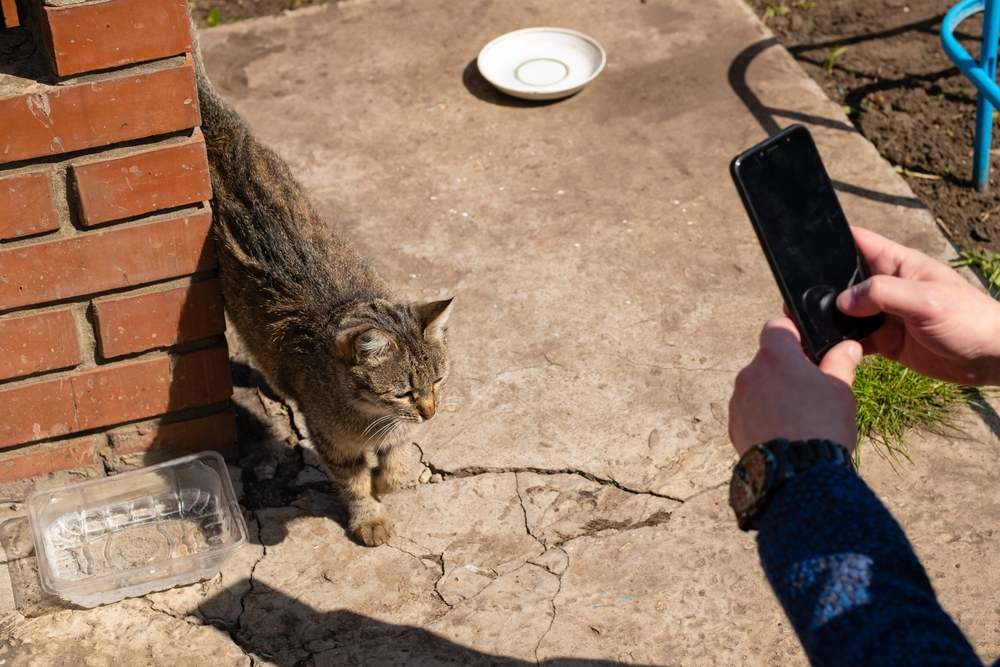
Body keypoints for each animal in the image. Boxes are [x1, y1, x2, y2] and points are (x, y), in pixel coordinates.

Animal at [188, 22, 454, 548]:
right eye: (403, 392)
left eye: (437, 381)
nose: (432, 413)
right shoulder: (334, 443)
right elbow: (353, 481)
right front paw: (369, 514)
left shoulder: (398, 433)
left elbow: (396, 460)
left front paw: (389, 480)